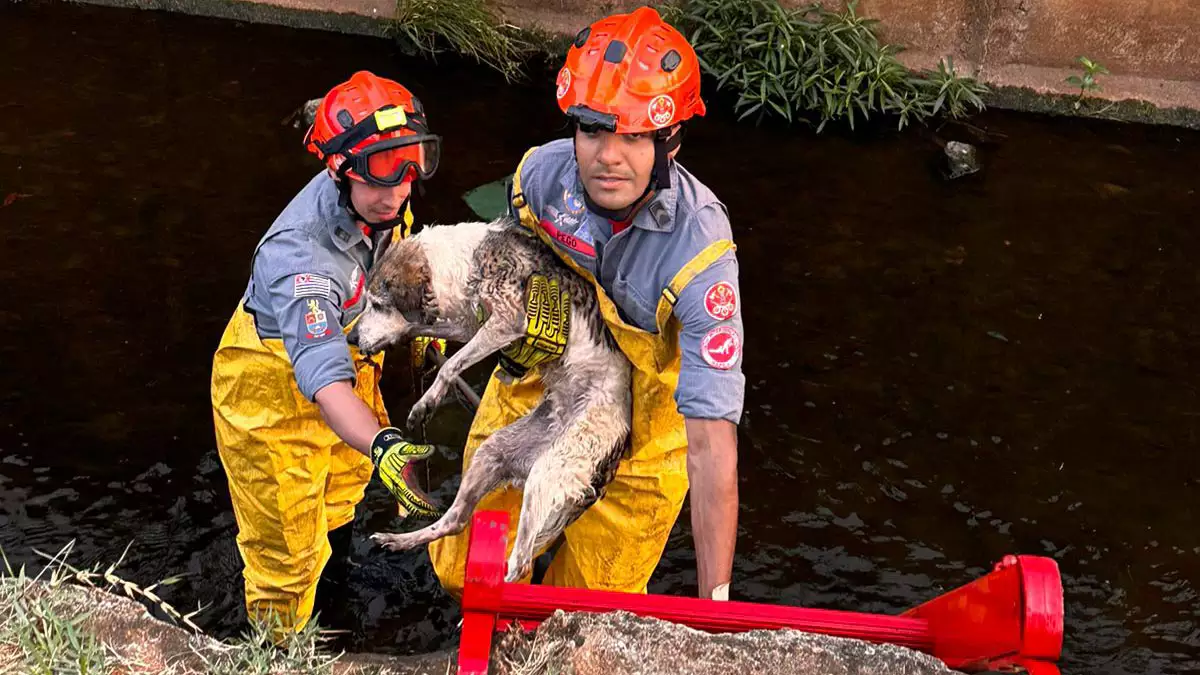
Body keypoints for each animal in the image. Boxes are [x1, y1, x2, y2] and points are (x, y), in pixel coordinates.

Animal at [350, 214, 633, 578]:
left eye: (378, 304)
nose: (353, 338)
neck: (468, 260)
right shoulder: (470, 327)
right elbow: (422, 329)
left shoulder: (508, 322)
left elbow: (450, 365)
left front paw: (427, 402)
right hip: (493, 451)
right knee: (455, 521)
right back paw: (401, 541)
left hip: (547, 471)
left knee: (521, 562)